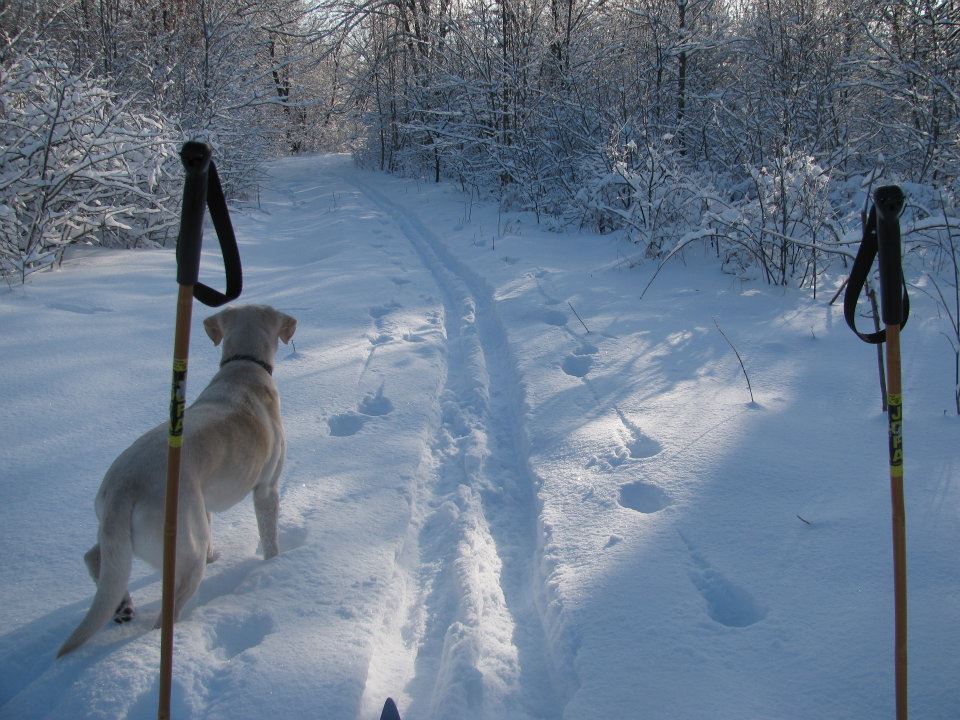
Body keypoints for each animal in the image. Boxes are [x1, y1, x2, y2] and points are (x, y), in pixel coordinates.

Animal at [58, 304, 294, 660]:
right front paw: (274, 564)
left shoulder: (204, 500)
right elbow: (270, 538)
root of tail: (125, 488)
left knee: (94, 558)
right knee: (167, 612)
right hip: (185, 552)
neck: (244, 365)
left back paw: (122, 606)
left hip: (120, 533)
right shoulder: (266, 488)